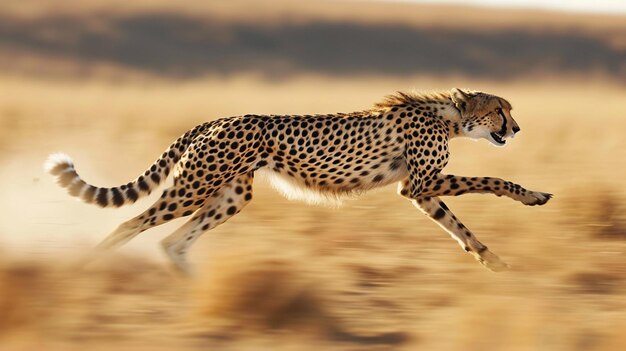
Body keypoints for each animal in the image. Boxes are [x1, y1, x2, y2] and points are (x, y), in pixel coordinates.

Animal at [45, 88, 552, 276]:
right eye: (500, 110)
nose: (517, 129)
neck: (449, 116)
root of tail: (218, 118)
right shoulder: (421, 184)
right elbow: (491, 178)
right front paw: (532, 195)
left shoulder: (419, 192)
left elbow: (458, 227)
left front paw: (491, 260)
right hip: (194, 186)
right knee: (130, 224)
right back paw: (84, 268)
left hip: (233, 194)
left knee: (173, 241)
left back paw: (192, 286)